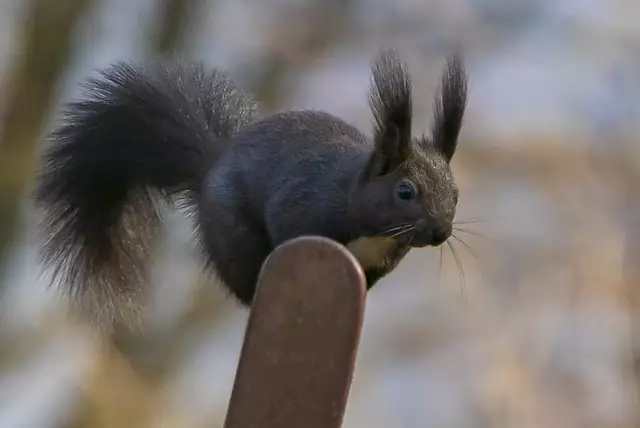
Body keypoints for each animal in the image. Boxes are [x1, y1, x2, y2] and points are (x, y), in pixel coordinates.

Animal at [33, 49, 468, 324]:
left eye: (457, 194)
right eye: (405, 191)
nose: (441, 231)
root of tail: (211, 166)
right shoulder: (303, 206)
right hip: (234, 238)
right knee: (245, 284)